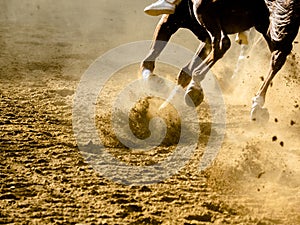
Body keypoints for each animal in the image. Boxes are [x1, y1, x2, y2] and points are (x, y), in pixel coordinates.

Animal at [141, 0, 300, 122]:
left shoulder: (171, 20)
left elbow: (152, 56)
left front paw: (155, 84)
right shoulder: (204, 37)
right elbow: (185, 71)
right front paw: (165, 106)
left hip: (206, 11)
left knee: (223, 44)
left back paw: (195, 86)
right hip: (266, 22)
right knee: (278, 55)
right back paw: (257, 105)